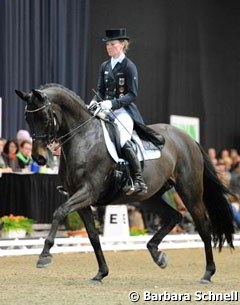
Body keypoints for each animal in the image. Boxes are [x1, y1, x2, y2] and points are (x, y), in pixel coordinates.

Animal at [15, 83, 234, 282]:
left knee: (203, 227)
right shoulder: (79, 198)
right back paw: (158, 255)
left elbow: (59, 212)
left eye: (44, 118)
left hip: (190, 191)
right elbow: (93, 235)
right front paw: (101, 273)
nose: (39, 158)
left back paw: (207, 273)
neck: (83, 138)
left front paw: (44, 256)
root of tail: (188, 139)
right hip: (148, 197)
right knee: (175, 216)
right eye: (27, 118)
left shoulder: (89, 191)